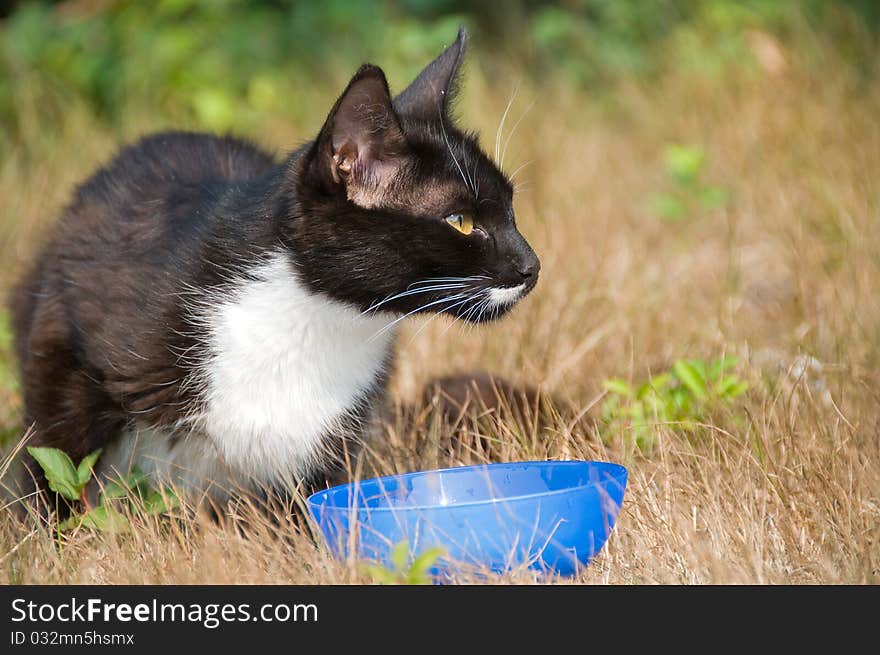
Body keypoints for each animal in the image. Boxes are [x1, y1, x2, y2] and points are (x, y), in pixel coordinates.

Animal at [10, 26, 540, 512]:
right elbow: (56, 461)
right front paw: (48, 531)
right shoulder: (72, 333)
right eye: (461, 221)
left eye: (512, 207)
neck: (313, 314)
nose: (532, 267)